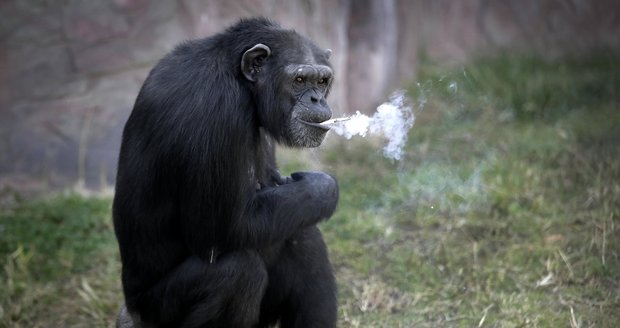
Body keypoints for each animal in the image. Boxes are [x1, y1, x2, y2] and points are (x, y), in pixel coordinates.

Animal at [114, 18, 342, 328]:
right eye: (299, 80)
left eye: (321, 81)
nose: (317, 98)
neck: (240, 80)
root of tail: (132, 311)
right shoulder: (220, 112)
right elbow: (223, 229)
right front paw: (322, 188)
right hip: (157, 312)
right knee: (238, 272)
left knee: (304, 236)